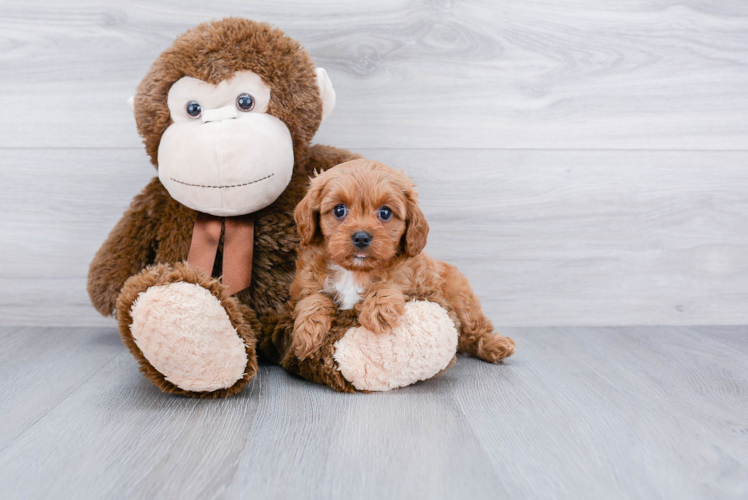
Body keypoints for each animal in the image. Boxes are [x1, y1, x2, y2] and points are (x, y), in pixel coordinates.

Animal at [290, 159, 516, 364]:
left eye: (385, 212)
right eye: (339, 210)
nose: (361, 237)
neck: (356, 271)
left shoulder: (415, 280)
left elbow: (389, 282)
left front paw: (379, 310)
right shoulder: (305, 283)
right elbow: (314, 298)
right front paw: (306, 333)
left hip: (460, 296)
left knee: (474, 327)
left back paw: (495, 345)